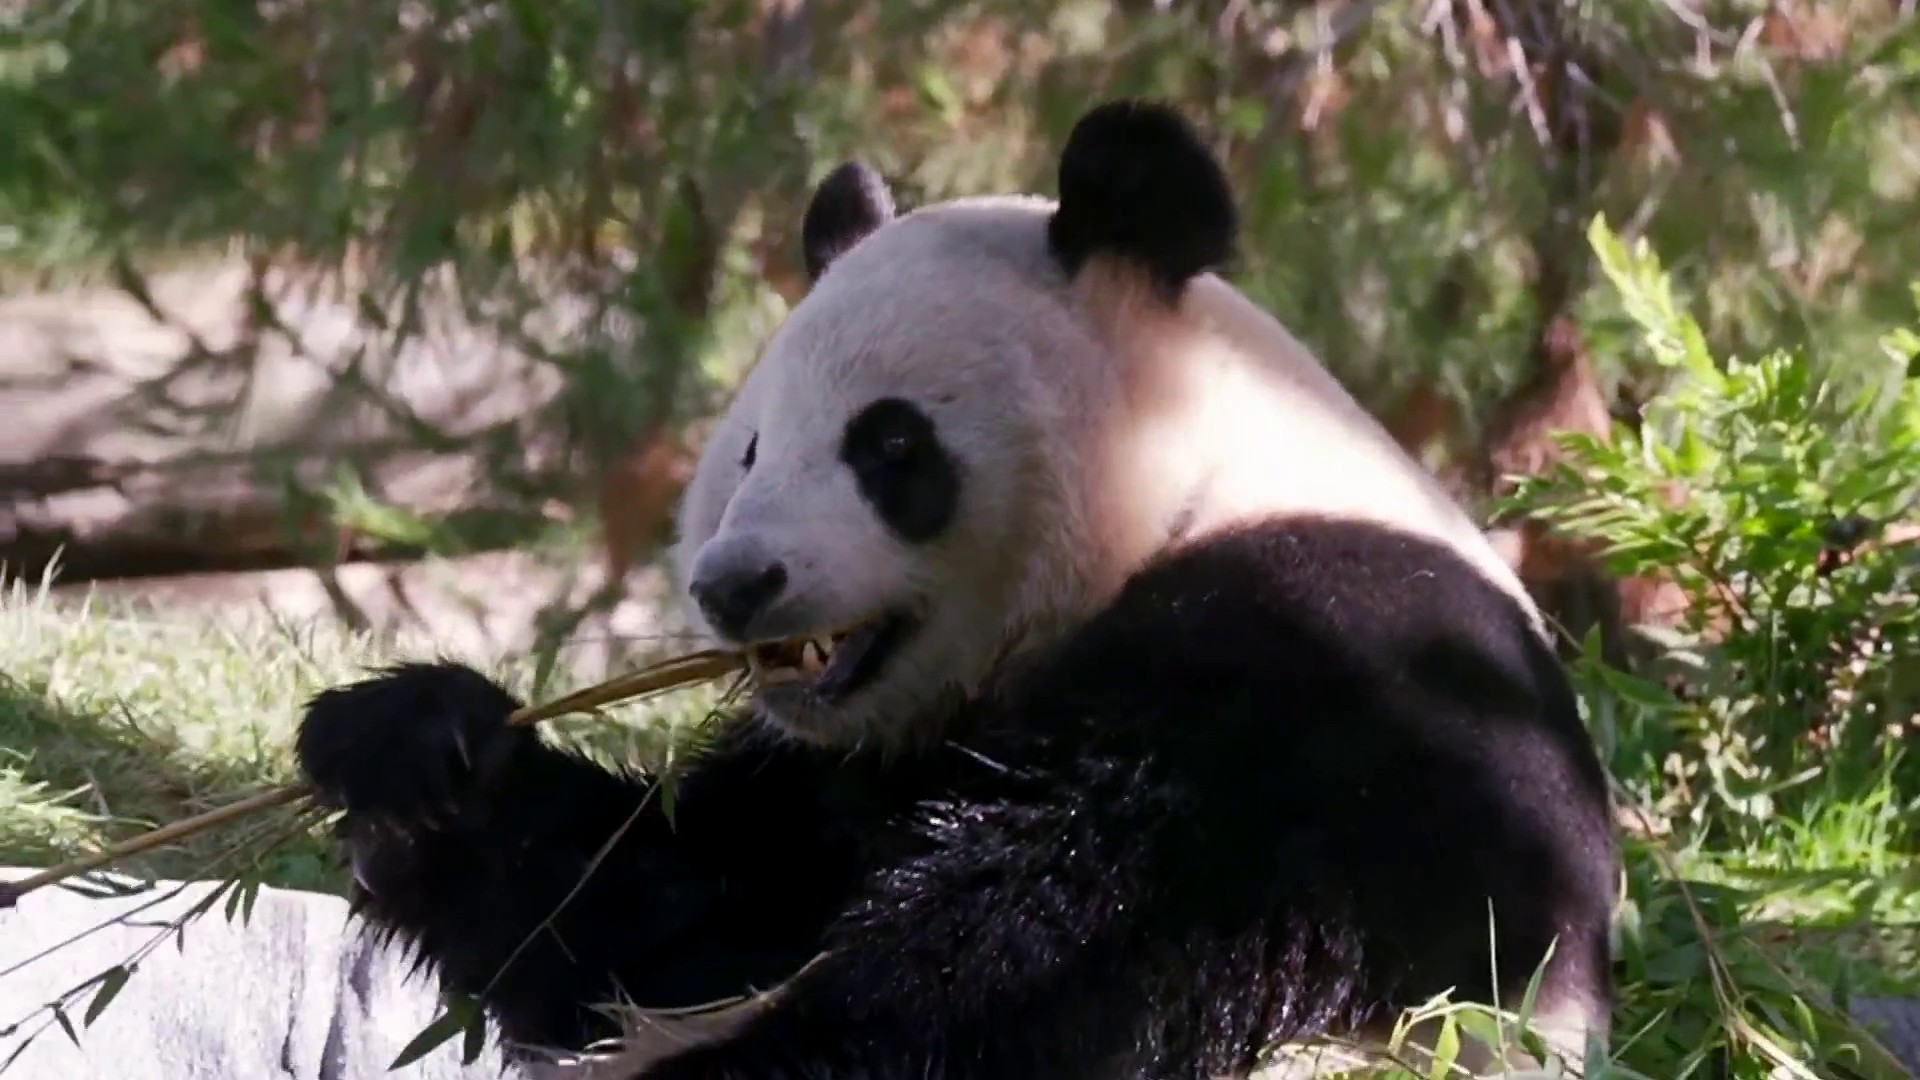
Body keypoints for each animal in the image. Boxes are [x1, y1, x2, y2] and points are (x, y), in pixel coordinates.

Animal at [295, 100, 1620, 1076]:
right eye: (751, 451)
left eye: (889, 446)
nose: (736, 584)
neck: (1192, 486)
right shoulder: (840, 768)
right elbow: (673, 914)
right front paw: (413, 751)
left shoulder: (1336, 678)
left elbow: (1058, 957)